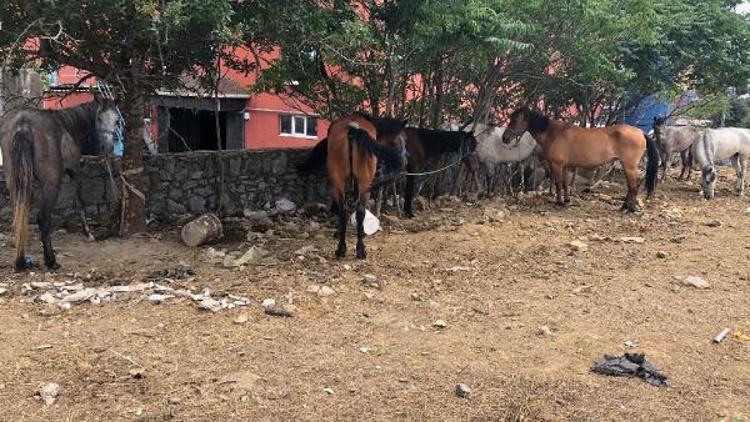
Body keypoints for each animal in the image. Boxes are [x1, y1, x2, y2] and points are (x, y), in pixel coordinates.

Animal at [0, 96, 119, 270]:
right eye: (99, 118)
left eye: (117, 120)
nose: (108, 147)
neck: (69, 127)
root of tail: (23, 124)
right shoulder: (75, 171)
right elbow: (80, 200)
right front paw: (88, 233)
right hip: (51, 182)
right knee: (43, 218)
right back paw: (51, 261)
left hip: (14, 180)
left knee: (19, 214)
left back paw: (20, 260)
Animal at [326, 113, 406, 258]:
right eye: (400, 142)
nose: (404, 162)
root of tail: (352, 128)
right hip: (361, 181)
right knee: (358, 210)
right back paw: (358, 250)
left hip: (342, 180)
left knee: (346, 210)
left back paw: (344, 249)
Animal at [506, 105, 656, 211]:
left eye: (514, 120)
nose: (504, 138)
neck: (554, 134)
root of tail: (640, 132)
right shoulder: (565, 166)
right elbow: (565, 183)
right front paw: (566, 201)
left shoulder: (557, 165)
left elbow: (558, 183)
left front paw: (559, 203)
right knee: (634, 185)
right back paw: (626, 207)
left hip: (629, 166)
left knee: (633, 186)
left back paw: (628, 208)